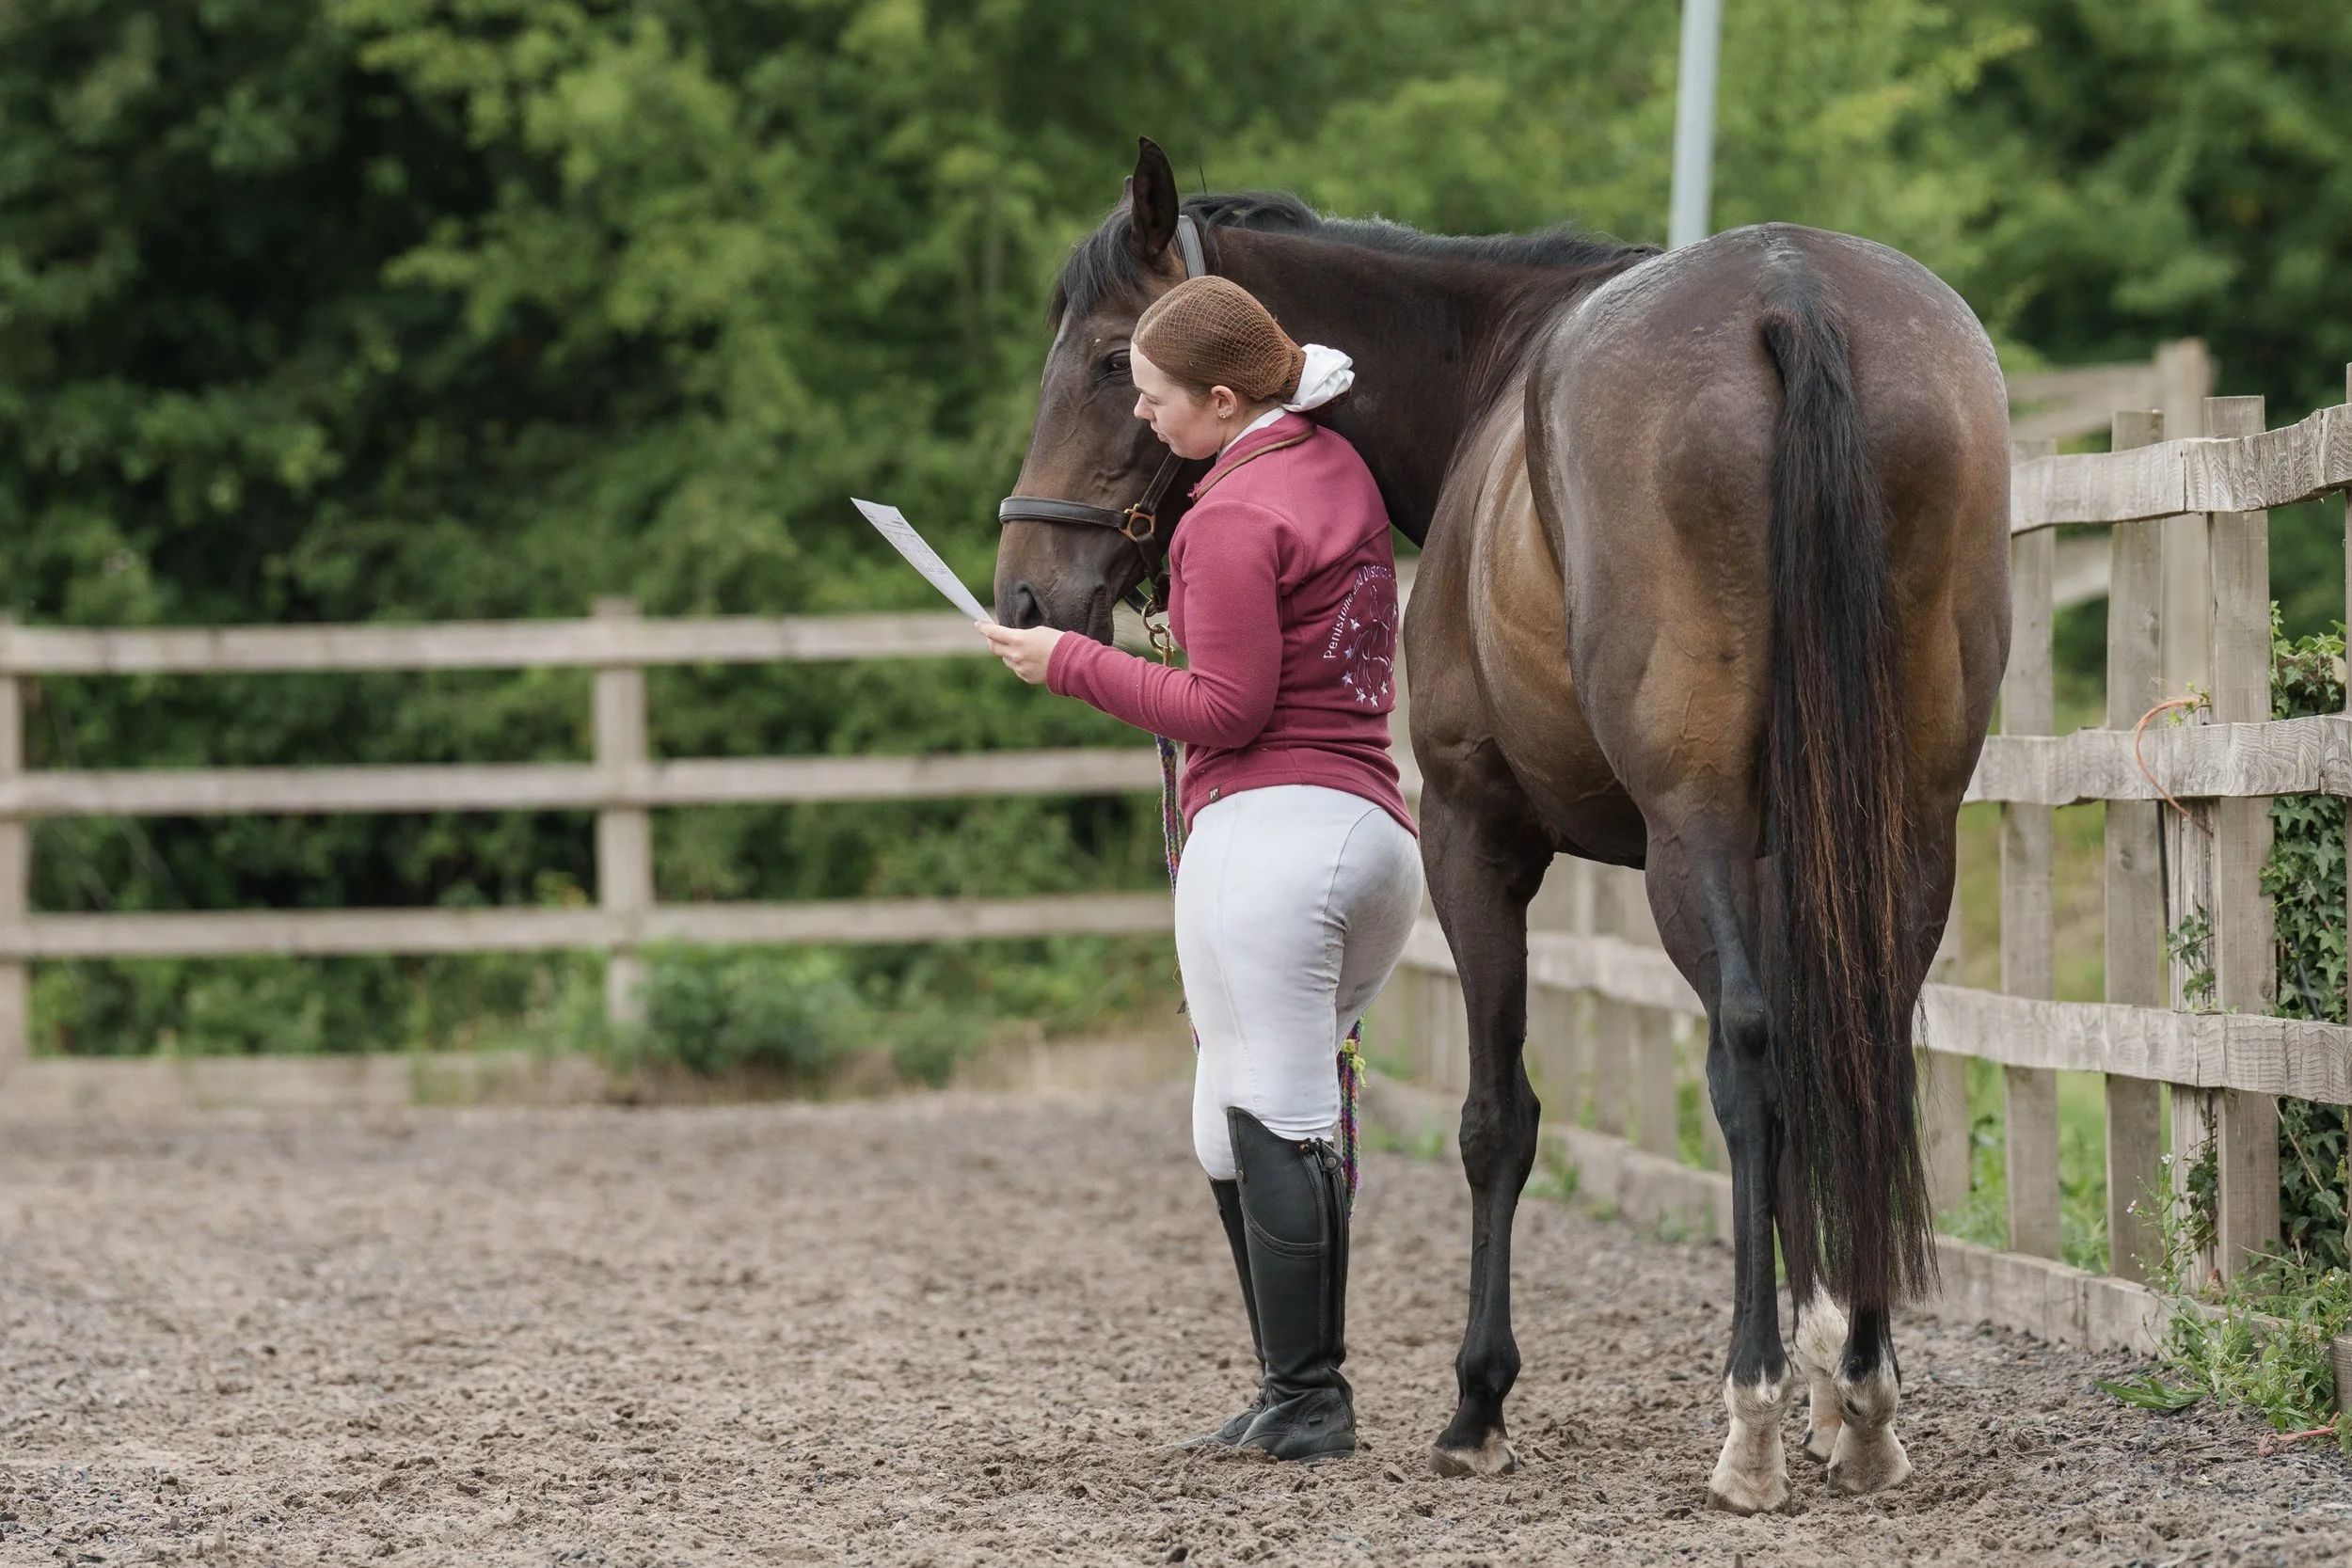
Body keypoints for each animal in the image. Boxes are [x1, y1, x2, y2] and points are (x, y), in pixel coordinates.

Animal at [994, 137, 2008, 1513]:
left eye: (1111, 359)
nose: (1025, 594)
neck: (1491, 377)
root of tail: (1790, 293)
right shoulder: (1791, 847)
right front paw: (1826, 1364)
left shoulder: (1477, 834)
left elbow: (1497, 1118)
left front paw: (1479, 1401)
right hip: (1905, 821)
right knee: (1862, 1035)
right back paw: (1862, 1392)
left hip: (1687, 836)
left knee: (1745, 1058)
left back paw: (1745, 1417)